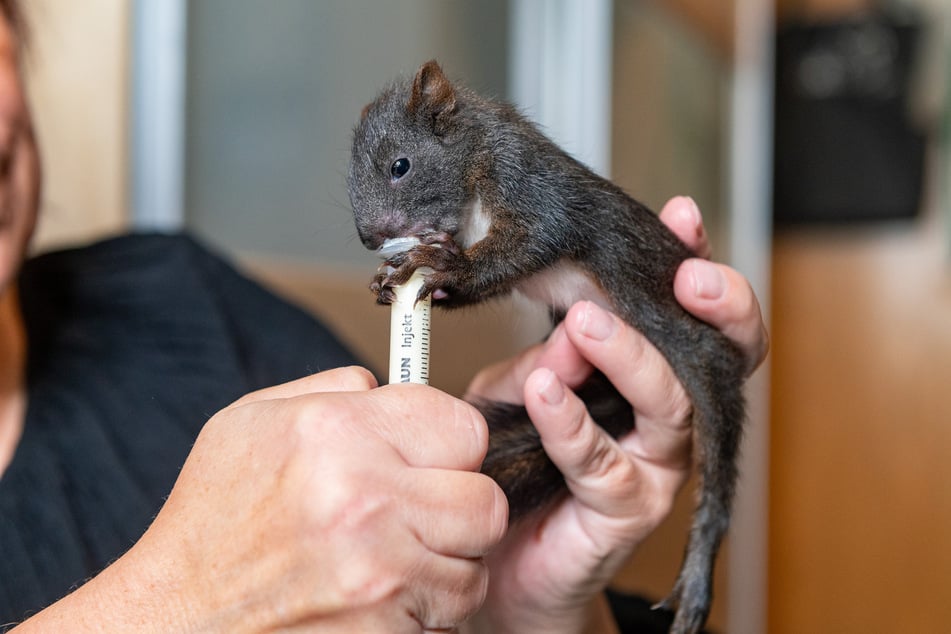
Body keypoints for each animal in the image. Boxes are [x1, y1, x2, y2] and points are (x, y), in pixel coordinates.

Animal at [347, 60, 746, 634]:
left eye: (400, 165)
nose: (368, 238)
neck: (471, 164)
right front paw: (392, 279)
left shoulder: (526, 180)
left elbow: (536, 237)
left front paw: (442, 265)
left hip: (672, 323)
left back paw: (696, 576)